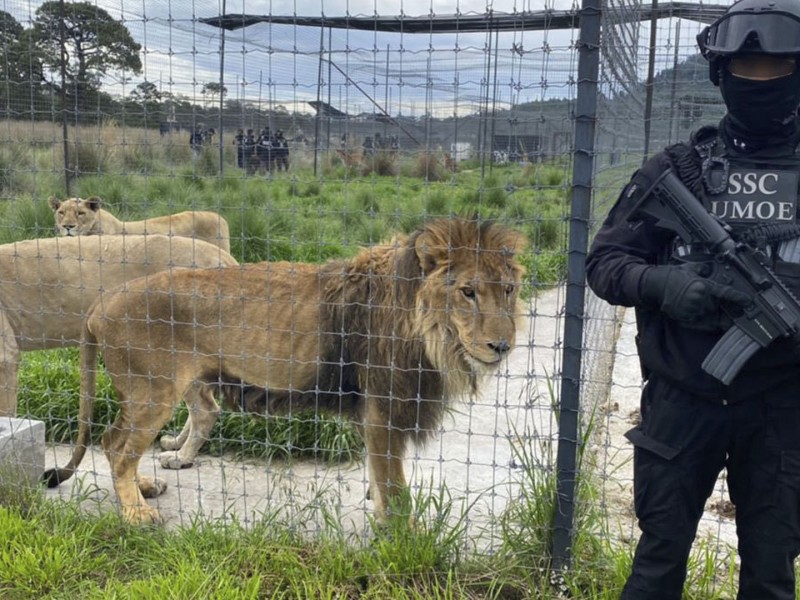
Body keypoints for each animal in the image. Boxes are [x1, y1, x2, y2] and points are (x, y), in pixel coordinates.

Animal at [45, 218, 524, 524]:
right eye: (468, 292)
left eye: (508, 290)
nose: (502, 346)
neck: (431, 333)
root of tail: (100, 303)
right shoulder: (383, 411)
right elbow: (394, 488)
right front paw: (401, 539)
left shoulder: (375, 411)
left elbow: (380, 477)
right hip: (152, 392)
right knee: (116, 447)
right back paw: (136, 512)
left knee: (123, 441)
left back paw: (145, 487)